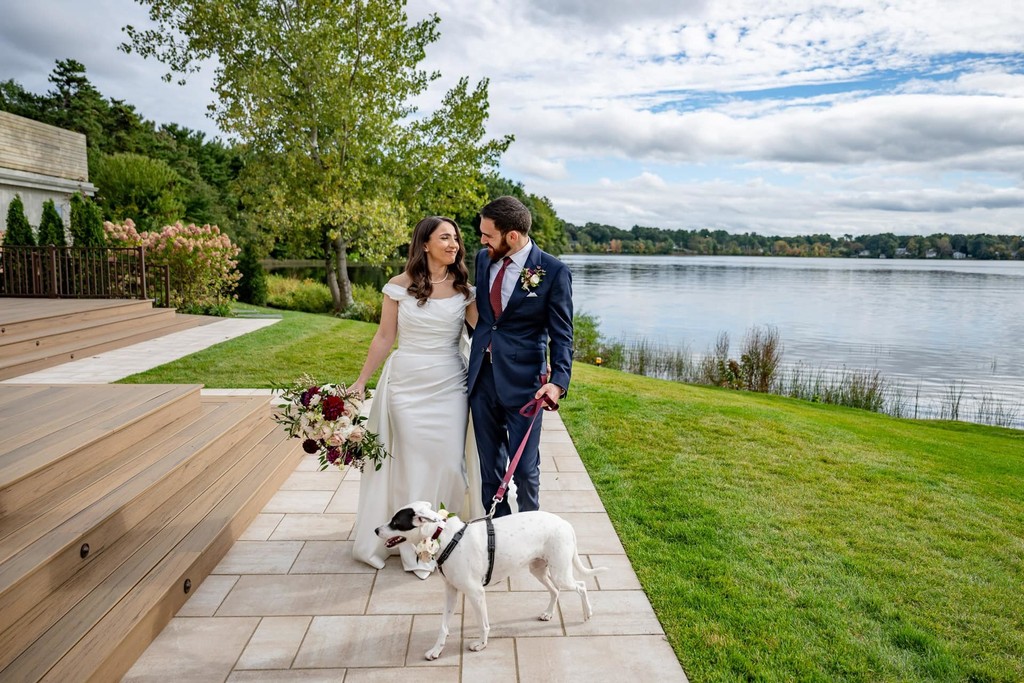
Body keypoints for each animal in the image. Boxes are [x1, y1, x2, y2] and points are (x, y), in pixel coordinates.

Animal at [376, 499, 602, 659]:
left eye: (396, 523)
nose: (376, 529)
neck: (445, 537)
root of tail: (565, 523)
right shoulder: (451, 591)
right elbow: (443, 626)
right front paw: (436, 650)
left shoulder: (476, 593)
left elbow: (483, 624)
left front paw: (481, 645)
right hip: (538, 569)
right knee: (555, 590)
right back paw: (548, 613)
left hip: (560, 573)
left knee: (581, 585)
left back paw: (588, 613)